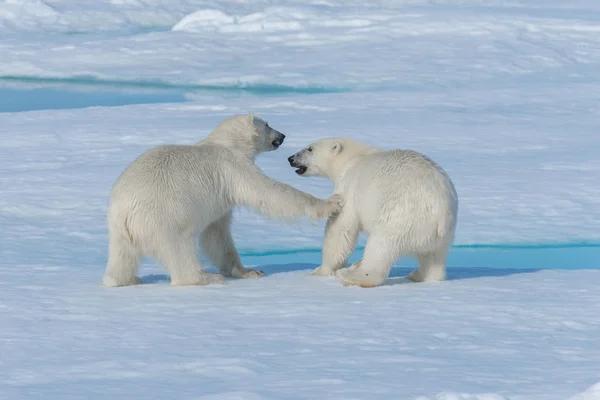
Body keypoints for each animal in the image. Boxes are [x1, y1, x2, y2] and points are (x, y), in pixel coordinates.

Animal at [104, 112, 342, 288]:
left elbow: (216, 233)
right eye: (267, 123)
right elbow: (269, 193)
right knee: (179, 247)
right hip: (163, 216)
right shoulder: (233, 168)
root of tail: (125, 210)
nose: (282, 135)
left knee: (121, 256)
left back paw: (125, 279)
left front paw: (248, 271)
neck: (226, 143)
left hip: (119, 230)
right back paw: (204, 277)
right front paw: (332, 203)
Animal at [288, 138, 458, 288]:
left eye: (310, 148)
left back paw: (351, 275)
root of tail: (440, 210)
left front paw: (320, 270)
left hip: (401, 218)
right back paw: (417, 275)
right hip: (441, 233)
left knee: (380, 248)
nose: (291, 158)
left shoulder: (349, 186)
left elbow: (340, 228)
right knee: (434, 257)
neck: (352, 158)